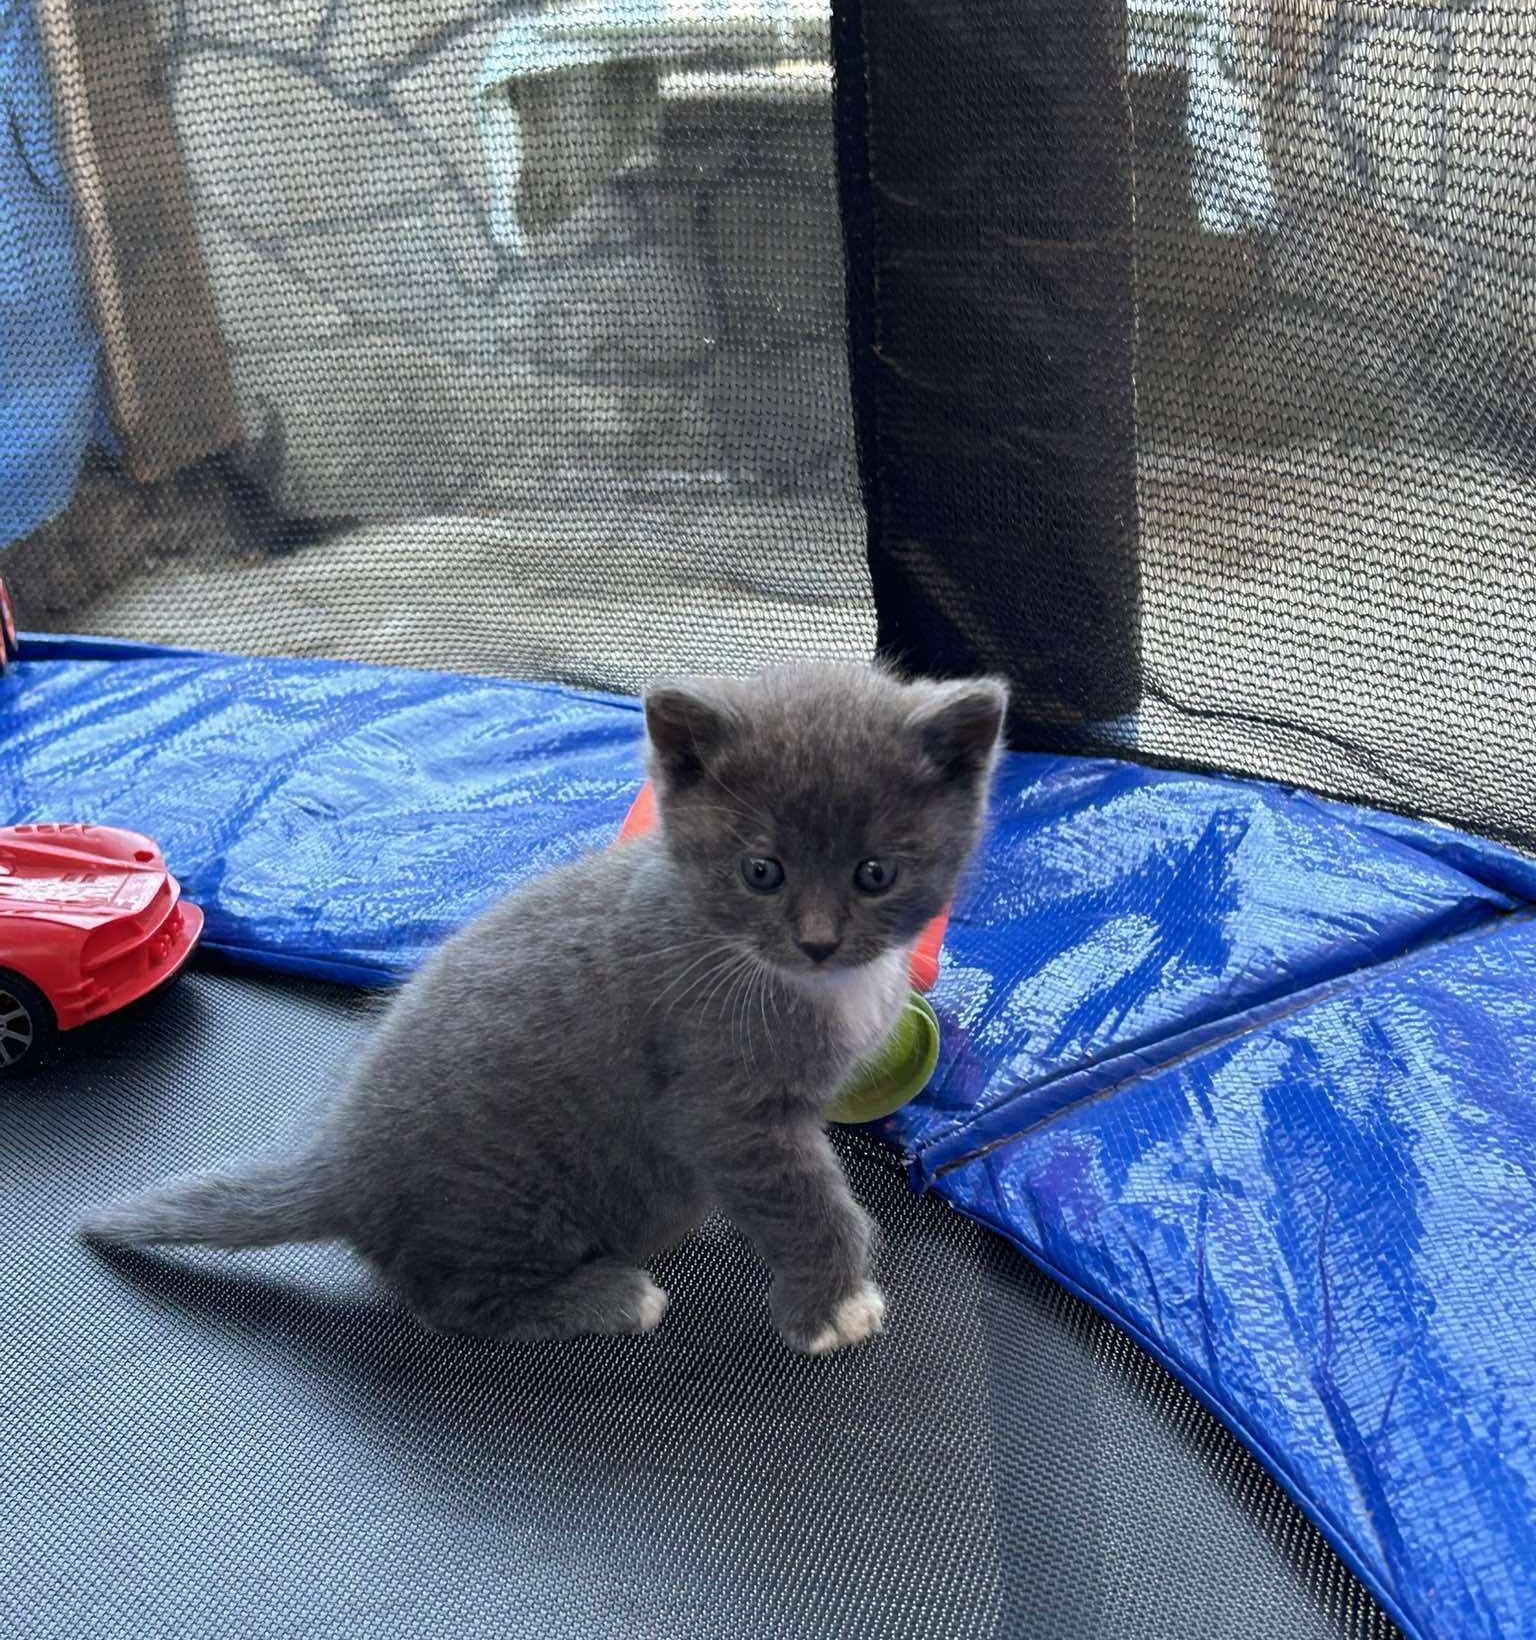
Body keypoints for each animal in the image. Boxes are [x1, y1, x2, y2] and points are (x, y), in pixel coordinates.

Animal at [80, 662, 1007, 1353]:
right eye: (762, 871)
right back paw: (609, 1297)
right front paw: (832, 1306)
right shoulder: (724, 1106)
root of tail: (339, 1162)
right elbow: (807, 1201)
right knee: (448, 1298)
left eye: (875, 873)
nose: (817, 941)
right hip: (513, 1203)